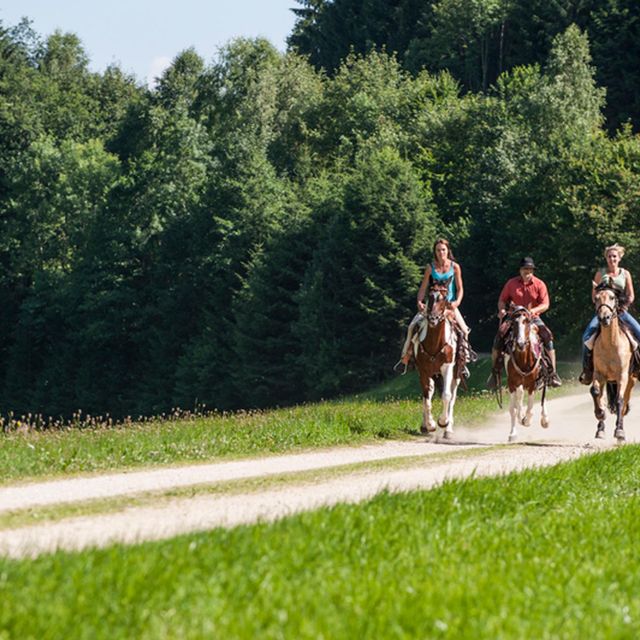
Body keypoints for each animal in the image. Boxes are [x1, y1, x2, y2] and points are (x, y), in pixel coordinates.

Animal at [415, 278, 461, 439]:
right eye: (430, 297)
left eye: (444, 298)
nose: (433, 319)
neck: (435, 343)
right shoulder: (423, 370)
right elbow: (426, 398)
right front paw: (430, 424)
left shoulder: (447, 368)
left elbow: (446, 395)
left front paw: (442, 421)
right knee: (429, 393)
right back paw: (424, 426)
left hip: (456, 375)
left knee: (452, 396)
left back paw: (449, 429)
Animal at [504, 305, 550, 442]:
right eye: (514, 323)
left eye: (527, 321)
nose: (520, 343)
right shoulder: (512, 383)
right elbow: (513, 408)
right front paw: (513, 433)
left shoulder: (532, 384)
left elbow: (530, 407)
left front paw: (527, 420)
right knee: (518, 397)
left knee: (544, 394)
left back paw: (545, 419)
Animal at [590, 284, 636, 442]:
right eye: (596, 298)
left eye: (612, 297)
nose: (604, 317)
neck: (611, 344)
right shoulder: (599, 374)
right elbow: (596, 392)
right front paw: (600, 413)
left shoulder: (622, 376)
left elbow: (619, 401)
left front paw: (619, 431)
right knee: (602, 397)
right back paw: (600, 429)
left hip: (631, 380)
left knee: (624, 402)